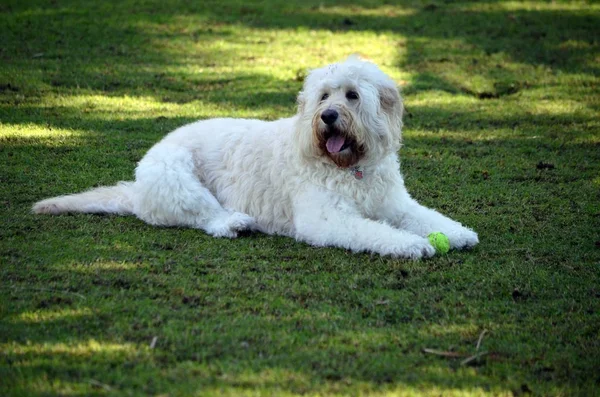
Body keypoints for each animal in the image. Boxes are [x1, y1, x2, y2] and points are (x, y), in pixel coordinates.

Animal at [36, 56, 478, 260]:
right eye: (324, 96)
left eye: (352, 95)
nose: (328, 117)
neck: (352, 168)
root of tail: (137, 186)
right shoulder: (328, 220)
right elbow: (375, 231)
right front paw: (410, 244)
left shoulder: (395, 203)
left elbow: (426, 217)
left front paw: (455, 232)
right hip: (178, 178)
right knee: (205, 217)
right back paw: (233, 222)